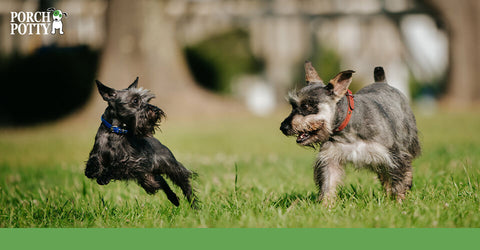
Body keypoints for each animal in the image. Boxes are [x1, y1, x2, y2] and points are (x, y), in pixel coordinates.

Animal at [85, 77, 196, 207]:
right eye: (135, 100)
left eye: (147, 99)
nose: (156, 110)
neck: (115, 132)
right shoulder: (97, 153)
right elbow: (92, 164)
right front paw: (95, 171)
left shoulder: (132, 162)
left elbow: (116, 166)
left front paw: (104, 176)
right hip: (149, 179)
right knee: (162, 182)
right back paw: (174, 199)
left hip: (170, 168)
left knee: (185, 185)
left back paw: (194, 206)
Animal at [282, 61, 420, 203]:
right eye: (292, 106)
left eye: (306, 106)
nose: (283, 127)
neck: (347, 130)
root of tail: (382, 82)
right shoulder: (330, 158)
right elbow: (328, 184)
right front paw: (326, 205)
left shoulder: (394, 156)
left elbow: (399, 182)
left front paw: (399, 202)